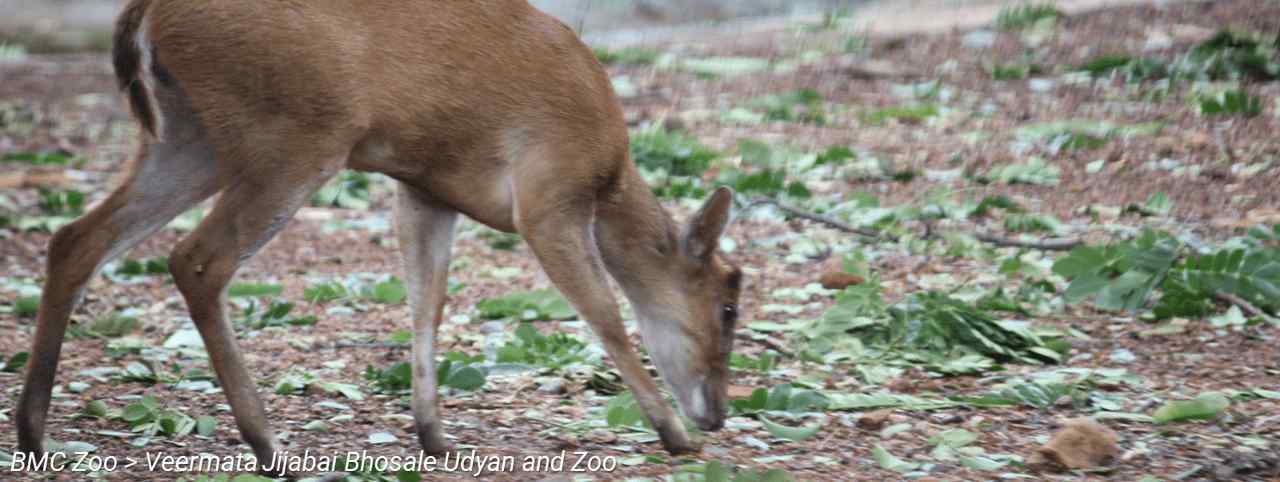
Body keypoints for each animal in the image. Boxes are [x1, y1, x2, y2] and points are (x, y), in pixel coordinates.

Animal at [17, 0, 742, 467]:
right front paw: (674, 434)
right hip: (295, 133)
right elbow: (605, 313)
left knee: (76, 238)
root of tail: (144, 15)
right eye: (730, 305)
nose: (717, 411)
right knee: (197, 259)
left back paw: (33, 433)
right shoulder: (547, 194)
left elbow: (428, 302)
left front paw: (434, 434)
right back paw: (267, 442)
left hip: (190, 138)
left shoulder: (424, 188)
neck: (608, 173)